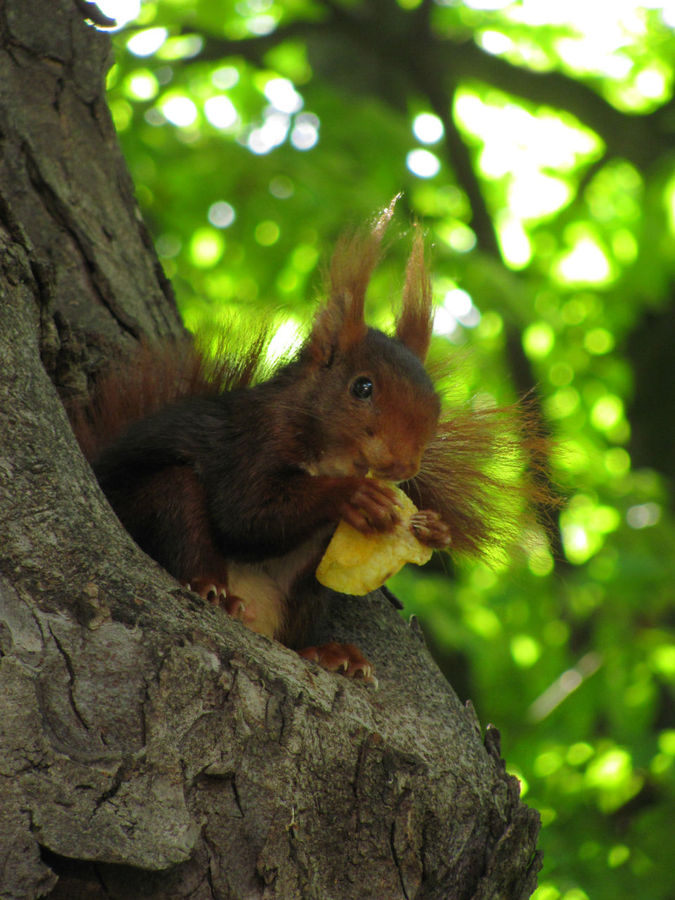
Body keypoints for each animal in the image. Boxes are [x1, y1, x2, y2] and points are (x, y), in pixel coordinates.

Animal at [70, 209, 548, 684]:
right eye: (362, 387)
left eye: (435, 401)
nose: (405, 465)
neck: (332, 458)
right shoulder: (253, 440)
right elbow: (245, 514)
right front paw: (355, 496)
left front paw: (434, 527)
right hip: (155, 500)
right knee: (180, 503)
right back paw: (213, 589)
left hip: (303, 595)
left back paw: (327, 652)